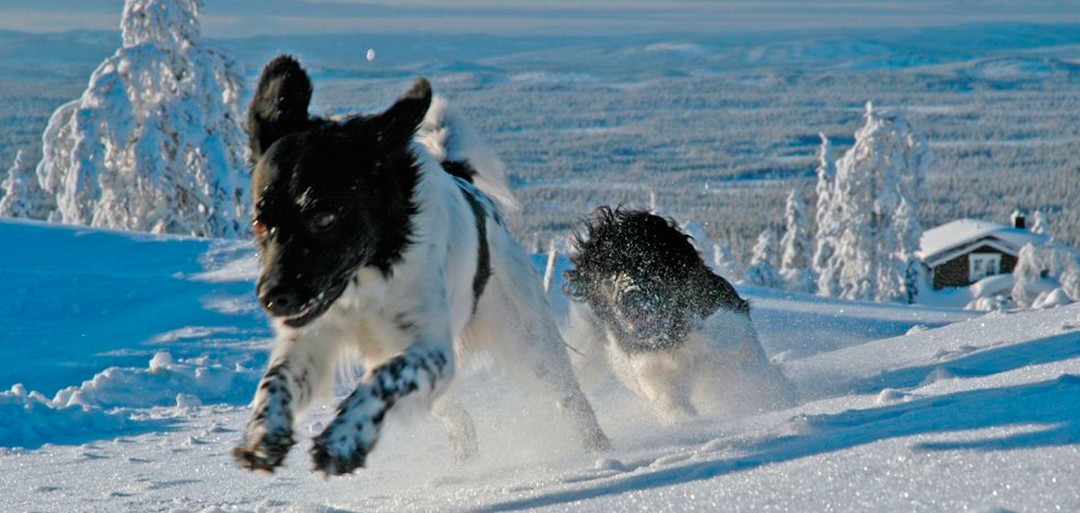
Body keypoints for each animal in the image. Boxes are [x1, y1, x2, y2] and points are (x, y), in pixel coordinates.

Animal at [234, 54, 609, 475]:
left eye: (323, 217)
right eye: (259, 221)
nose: (272, 297)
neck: (367, 276)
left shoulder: (431, 350)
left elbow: (384, 379)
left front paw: (344, 439)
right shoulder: (311, 334)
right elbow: (276, 379)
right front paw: (264, 433)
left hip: (528, 342)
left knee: (570, 400)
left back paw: (603, 455)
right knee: (459, 421)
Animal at [561, 208, 799, 425]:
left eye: (644, 260)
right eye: (607, 275)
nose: (630, 298)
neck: (672, 331)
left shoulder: (733, 333)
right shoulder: (652, 371)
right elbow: (673, 405)